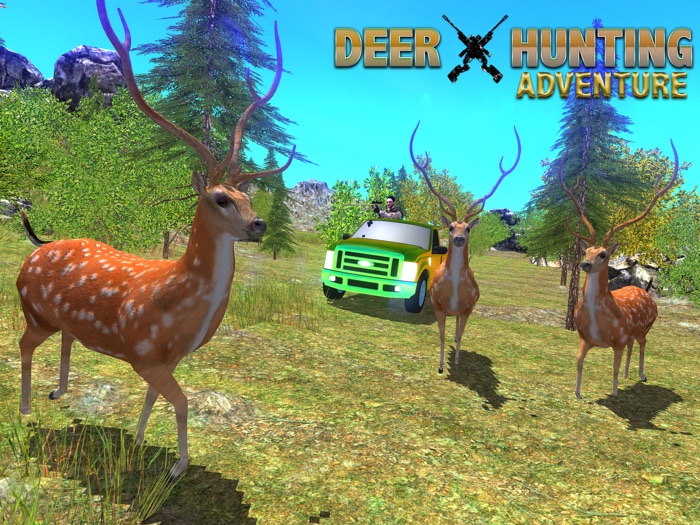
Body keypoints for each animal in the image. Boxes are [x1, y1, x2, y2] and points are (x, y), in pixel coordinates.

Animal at [16, 0, 295, 479]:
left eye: (248, 196)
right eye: (221, 198)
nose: (259, 225)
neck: (183, 306)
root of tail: (35, 252)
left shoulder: (168, 359)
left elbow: (153, 399)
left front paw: (140, 439)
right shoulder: (144, 354)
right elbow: (180, 403)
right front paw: (178, 465)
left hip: (60, 320)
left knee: (67, 339)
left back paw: (59, 392)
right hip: (34, 312)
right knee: (23, 345)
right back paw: (26, 410)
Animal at [409, 121, 520, 374]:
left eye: (468, 228)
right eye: (450, 227)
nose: (459, 238)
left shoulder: (469, 307)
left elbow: (461, 334)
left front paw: (458, 362)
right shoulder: (437, 305)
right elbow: (440, 336)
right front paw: (441, 367)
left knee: (458, 328)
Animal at [558, 141, 678, 399]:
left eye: (603, 254)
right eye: (586, 251)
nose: (585, 264)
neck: (600, 324)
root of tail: (645, 293)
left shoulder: (619, 339)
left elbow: (612, 367)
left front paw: (614, 393)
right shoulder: (584, 338)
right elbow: (578, 362)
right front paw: (577, 392)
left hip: (646, 327)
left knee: (642, 346)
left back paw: (641, 376)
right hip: (633, 333)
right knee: (633, 347)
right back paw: (626, 376)